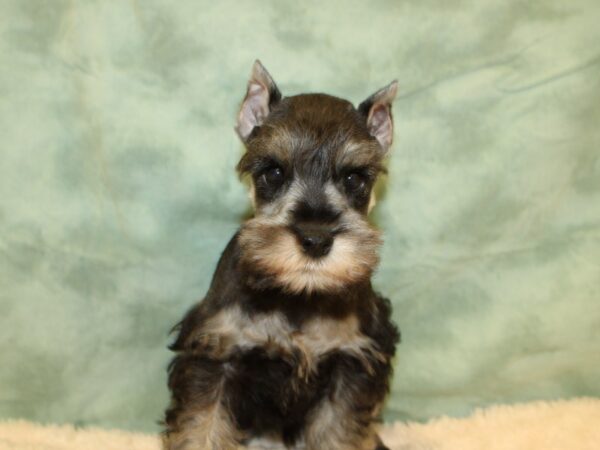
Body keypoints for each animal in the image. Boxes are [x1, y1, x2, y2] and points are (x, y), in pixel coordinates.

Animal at [164, 60, 398, 450]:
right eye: (273, 171)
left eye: (355, 178)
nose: (316, 239)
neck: (298, 297)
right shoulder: (215, 353)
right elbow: (203, 426)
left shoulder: (352, 362)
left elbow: (338, 432)